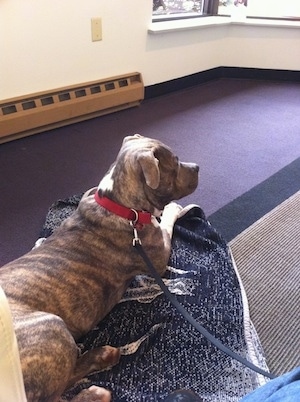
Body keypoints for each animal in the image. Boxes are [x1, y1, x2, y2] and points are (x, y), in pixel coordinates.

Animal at [0, 135, 199, 402]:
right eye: (175, 163)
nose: (197, 167)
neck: (120, 204)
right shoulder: (160, 254)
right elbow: (167, 220)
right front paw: (173, 208)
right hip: (50, 329)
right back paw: (97, 384)